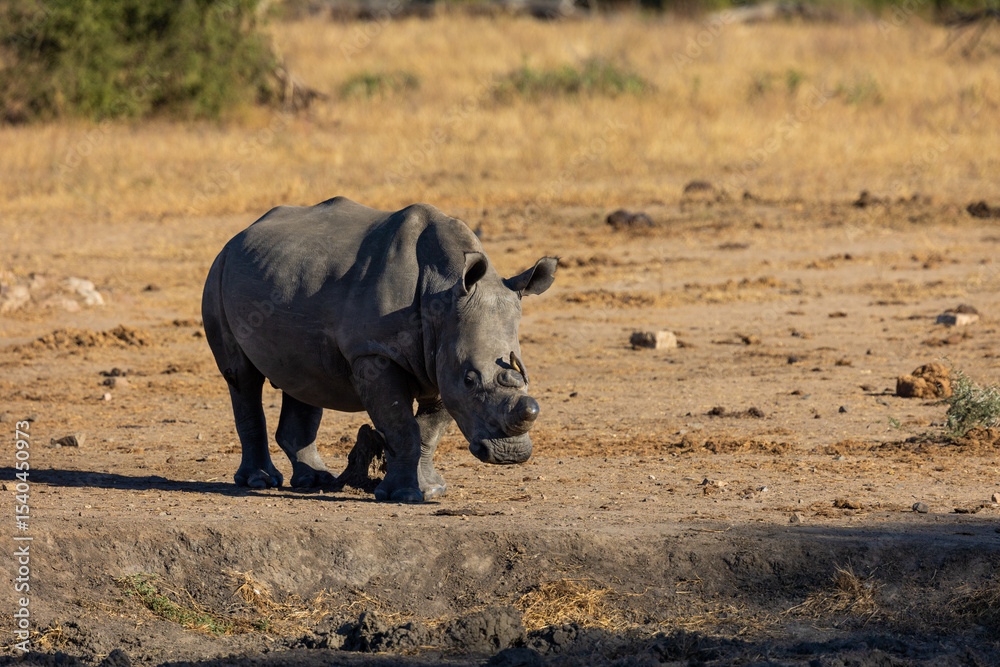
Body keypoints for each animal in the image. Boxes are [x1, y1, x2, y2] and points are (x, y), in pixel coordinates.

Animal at [201, 197, 557, 502]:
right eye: (470, 379)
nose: (509, 454)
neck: (442, 293)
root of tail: (239, 235)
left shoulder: (441, 360)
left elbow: (428, 431)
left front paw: (431, 490)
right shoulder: (375, 352)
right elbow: (401, 426)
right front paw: (403, 496)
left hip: (286, 273)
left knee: (303, 377)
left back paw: (316, 481)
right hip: (217, 271)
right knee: (242, 378)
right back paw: (260, 481)